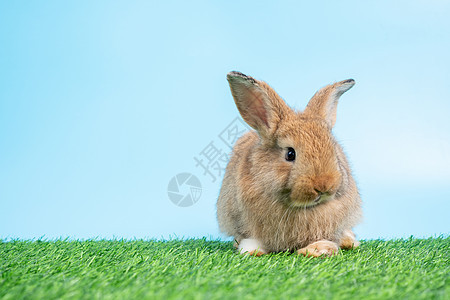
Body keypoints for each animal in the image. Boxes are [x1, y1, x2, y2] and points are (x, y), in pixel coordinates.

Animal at [217, 71, 362, 256]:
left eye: (334, 150)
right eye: (290, 154)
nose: (324, 185)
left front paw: (319, 250)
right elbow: (251, 240)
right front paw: (252, 251)